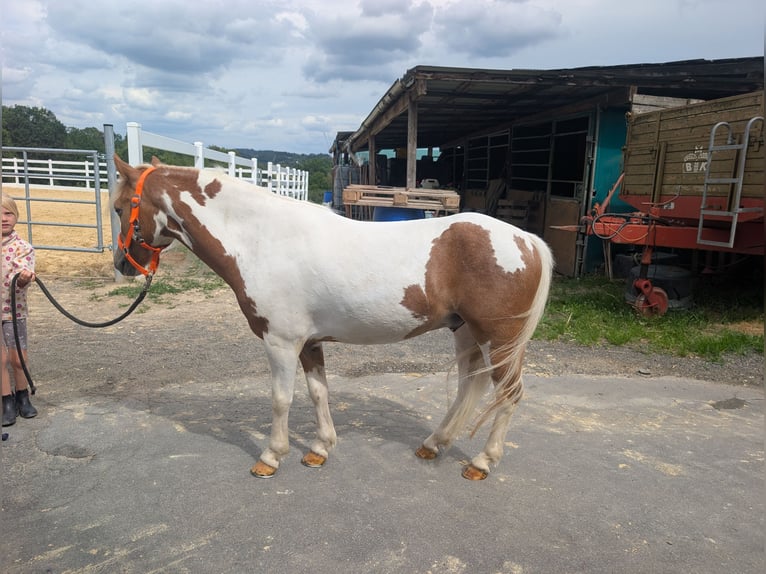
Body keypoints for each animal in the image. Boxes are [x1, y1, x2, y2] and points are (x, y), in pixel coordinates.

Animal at [112, 155, 554, 480]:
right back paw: (433, 444)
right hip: (466, 333)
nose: (123, 265)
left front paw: (270, 457)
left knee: (509, 395)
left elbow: (281, 398)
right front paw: (320, 449)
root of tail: (527, 240)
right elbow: (318, 393)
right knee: (468, 388)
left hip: (497, 338)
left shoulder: (281, 341)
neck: (262, 239)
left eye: (118, 207)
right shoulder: (308, 342)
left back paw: (481, 462)